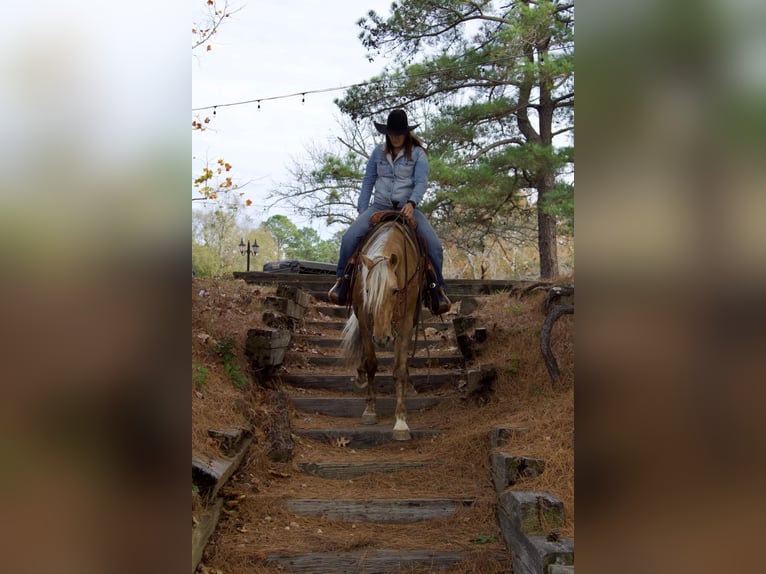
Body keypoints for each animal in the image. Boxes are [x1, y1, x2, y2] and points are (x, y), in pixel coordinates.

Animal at [342, 216, 426, 440]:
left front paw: (401, 422)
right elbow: (371, 363)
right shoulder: (364, 317)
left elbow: (399, 369)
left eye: (395, 291)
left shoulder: (406, 320)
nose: (382, 338)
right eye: (368, 290)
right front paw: (369, 411)